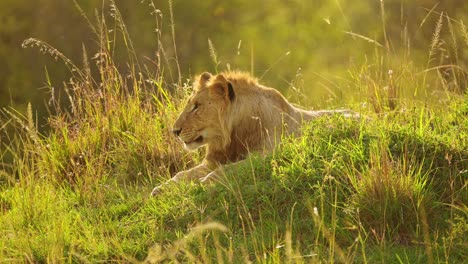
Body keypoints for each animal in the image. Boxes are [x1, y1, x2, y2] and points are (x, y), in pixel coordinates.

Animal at [152, 71, 356, 195]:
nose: (175, 131)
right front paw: (161, 188)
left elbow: (228, 169)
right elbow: (182, 174)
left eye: (196, 106)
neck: (233, 135)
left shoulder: (266, 155)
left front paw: (205, 182)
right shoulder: (213, 161)